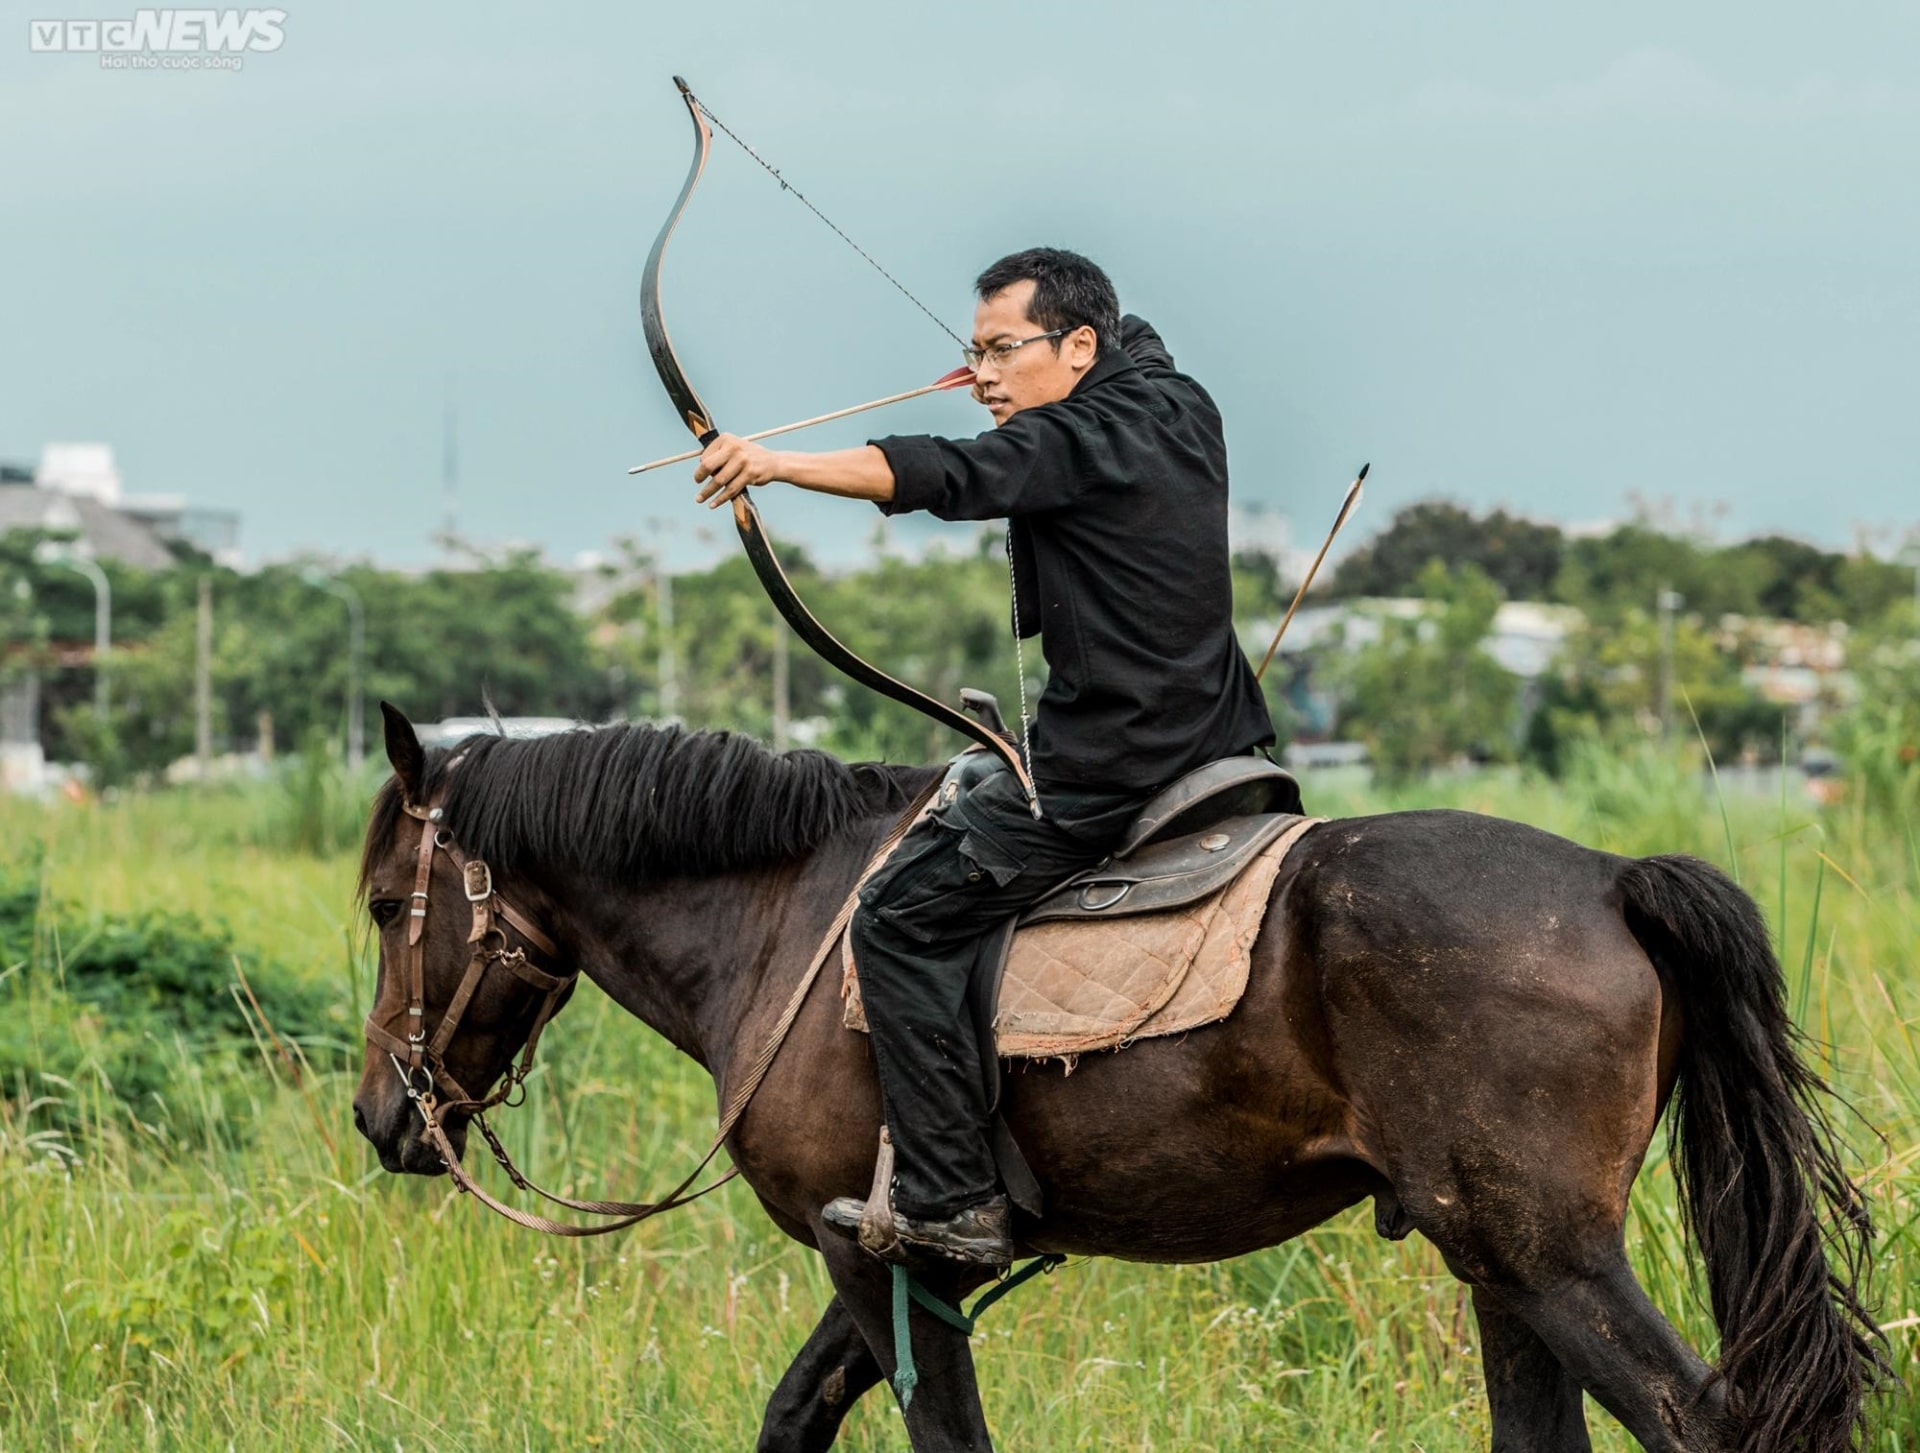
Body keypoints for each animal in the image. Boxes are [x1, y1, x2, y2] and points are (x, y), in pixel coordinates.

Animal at [353, 710, 1881, 1443]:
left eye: (379, 903)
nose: (383, 1118)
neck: (784, 912)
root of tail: (1616, 880)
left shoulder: (877, 1255)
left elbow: (943, 1436)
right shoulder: (891, 1254)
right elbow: (793, 1416)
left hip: (1549, 1254)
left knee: (1705, 1421)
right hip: (1497, 1261)